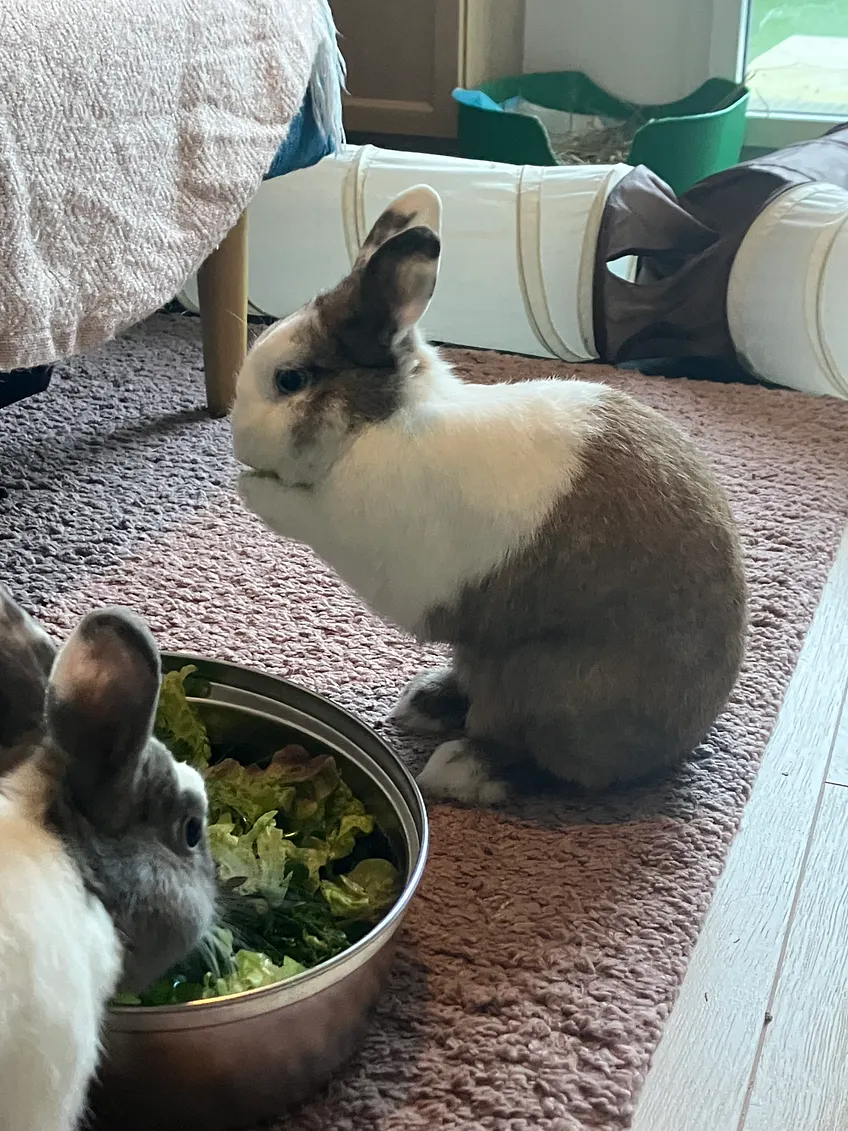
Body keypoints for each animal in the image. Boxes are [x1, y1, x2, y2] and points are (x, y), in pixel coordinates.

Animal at [231, 185, 748, 807]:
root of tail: (684, 742)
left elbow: (294, 507)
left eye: (290, 380)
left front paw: (250, 489)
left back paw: (457, 769)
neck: (379, 425)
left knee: (536, 758)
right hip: (483, 653)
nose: (235, 435)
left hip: (546, 684)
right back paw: (421, 704)